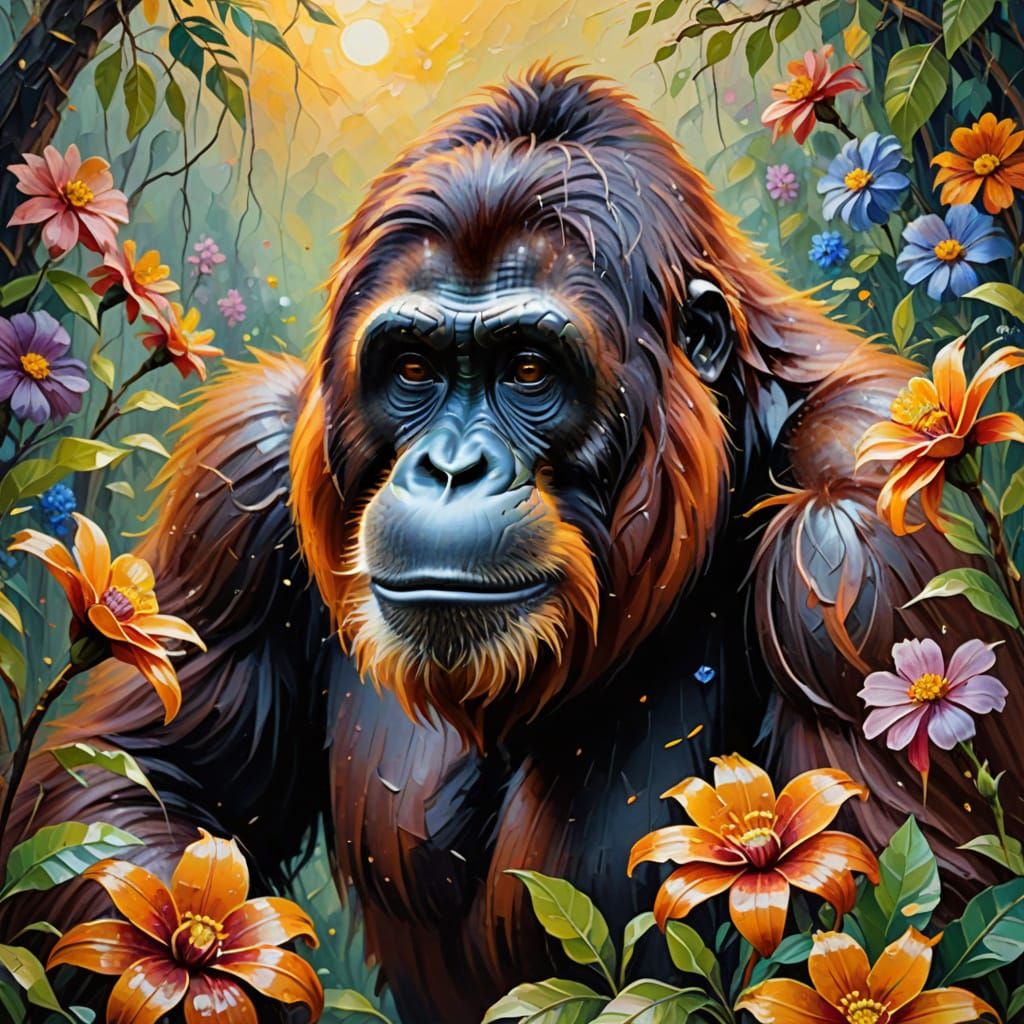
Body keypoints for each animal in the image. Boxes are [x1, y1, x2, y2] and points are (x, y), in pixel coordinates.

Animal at [2, 64, 1020, 1024]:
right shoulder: (239, 483)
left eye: (529, 370)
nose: (451, 467)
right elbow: (135, 782)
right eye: (414, 367)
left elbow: (881, 931)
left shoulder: (861, 546)